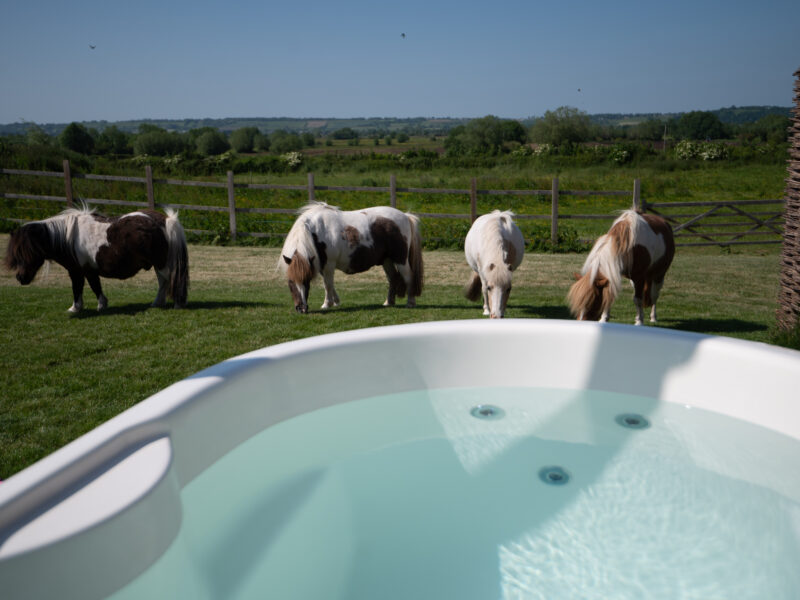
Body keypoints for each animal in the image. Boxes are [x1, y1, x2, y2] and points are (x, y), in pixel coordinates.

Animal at [5, 206, 189, 312]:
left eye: (28, 252)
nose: (20, 278)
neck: (68, 237)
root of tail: (164, 220)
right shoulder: (84, 270)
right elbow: (88, 287)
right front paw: (88, 306)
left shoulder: (80, 270)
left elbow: (84, 287)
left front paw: (81, 307)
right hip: (158, 264)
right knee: (163, 282)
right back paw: (157, 303)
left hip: (161, 263)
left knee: (170, 279)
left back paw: (176, 303)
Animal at [276, 203, 422, 314]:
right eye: (290, 282)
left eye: (307, 281)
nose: (302, 309)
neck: (315, 230)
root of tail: (405, 216)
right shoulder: (322, 264)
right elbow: (329, 284)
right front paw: (335, 302)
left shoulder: (329, 264)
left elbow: (327, 284)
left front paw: (326, 304)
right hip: (387, 261)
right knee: (392, 278)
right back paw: (388, 302)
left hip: (400, 259)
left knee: (408, 277)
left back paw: (410, 302)